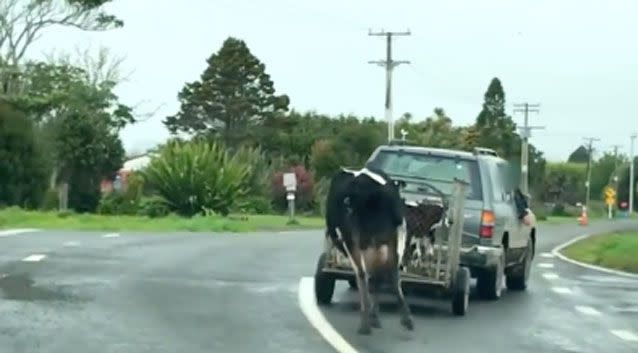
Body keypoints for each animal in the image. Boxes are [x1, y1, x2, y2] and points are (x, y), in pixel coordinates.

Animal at [324, 166, 416, 334]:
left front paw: (373, 315)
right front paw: (375, 315)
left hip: (357, 242)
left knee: (364, 275)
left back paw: (367, 322)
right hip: (394, 237)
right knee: (390, 275)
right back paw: (405, 319)